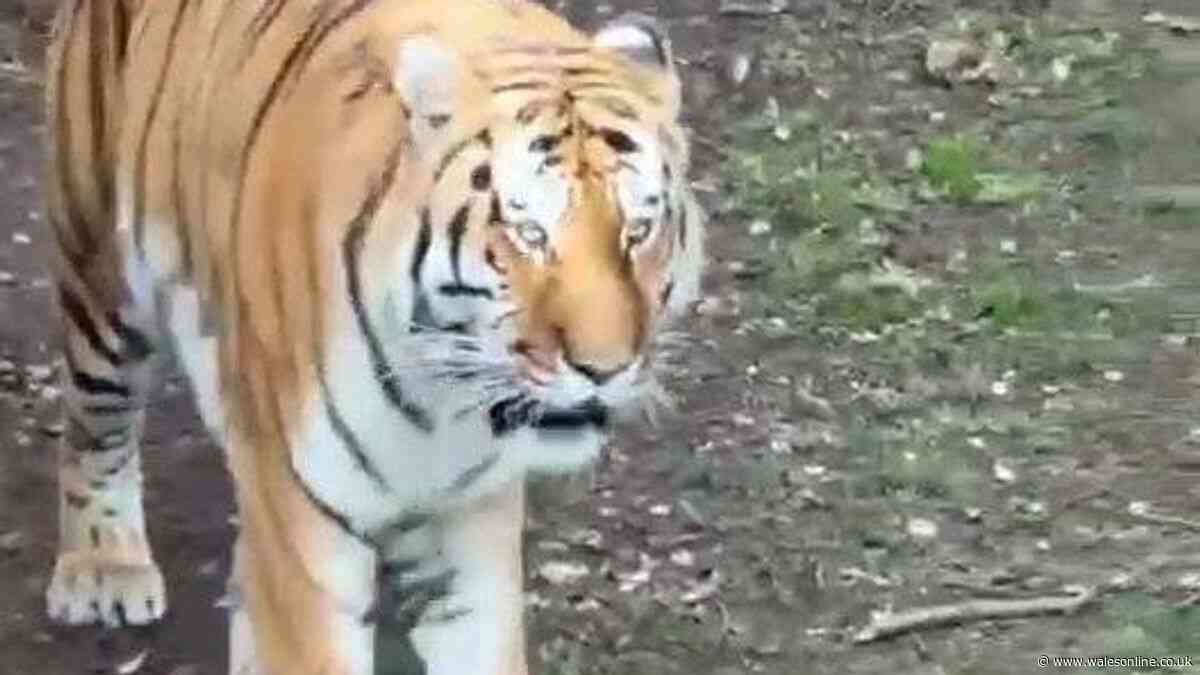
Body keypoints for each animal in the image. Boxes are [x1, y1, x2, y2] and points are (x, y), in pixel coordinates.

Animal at [40, 0, 704, 673]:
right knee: (95, 423)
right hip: (101, 269)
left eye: (638, 229)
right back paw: (105, 567)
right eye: (528, 233)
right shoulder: (301, 522)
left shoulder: (470, 521)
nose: (603, 368)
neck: (443, 402)